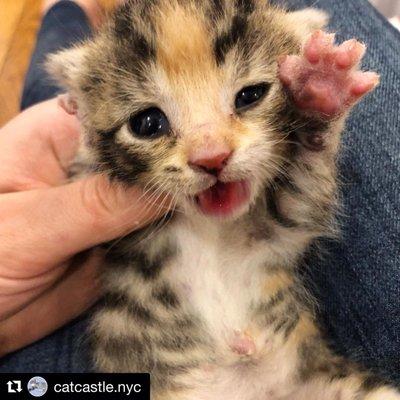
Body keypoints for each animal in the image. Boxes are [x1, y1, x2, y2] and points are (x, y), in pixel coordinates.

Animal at [46, 0, 396, 400]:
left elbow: (307, 186)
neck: (212, 228)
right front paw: (76, 113)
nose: (211, 157)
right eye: (147, 123)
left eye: (250, 95)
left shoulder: (288, 221)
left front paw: (320, 90)